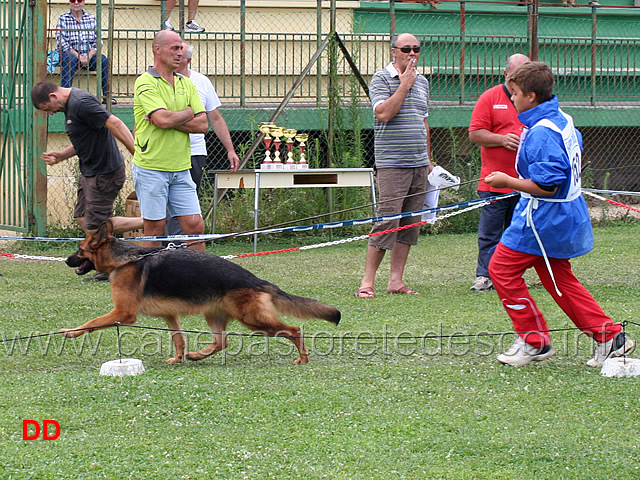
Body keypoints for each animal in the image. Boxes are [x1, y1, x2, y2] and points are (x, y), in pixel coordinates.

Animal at [65, 221, 342, 364]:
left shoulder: (123, 313)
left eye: (80, 250)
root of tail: (256, 280)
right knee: (221, 342)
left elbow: (92, 322)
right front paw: (179, 359)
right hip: (215, 315)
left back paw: (303, 359)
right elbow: (178, 338)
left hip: (252, 320)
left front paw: (71, 331)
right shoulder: (169, 316)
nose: (66, 260)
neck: (124, 260)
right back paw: (197, 355)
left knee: (293, 330)